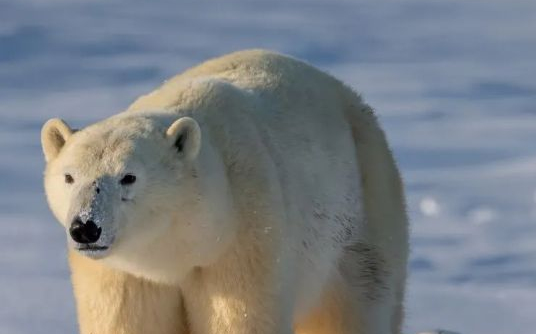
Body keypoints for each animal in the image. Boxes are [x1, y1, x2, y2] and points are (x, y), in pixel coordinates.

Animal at [42, 49, 408, 334]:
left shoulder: (244, 239)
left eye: (128, 177)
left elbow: (240, 318)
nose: (85, 227)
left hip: (363, 207)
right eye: (69, 177)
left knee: (361, 298)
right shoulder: (125, 274)